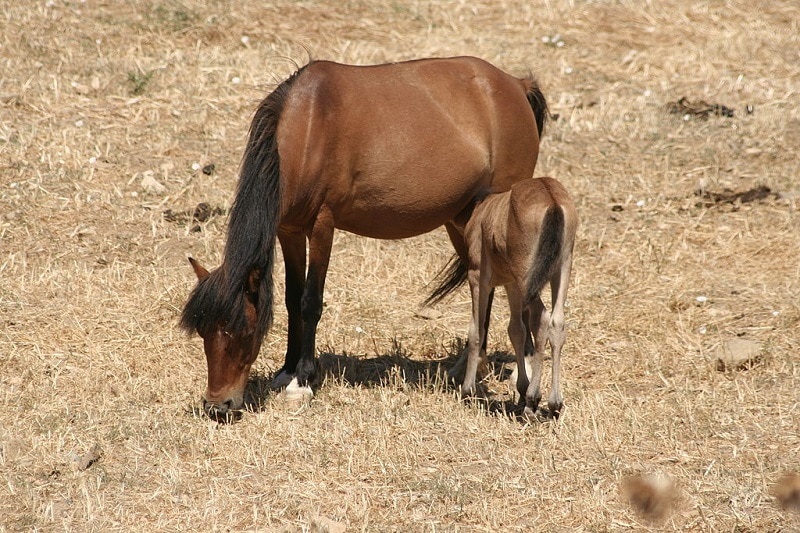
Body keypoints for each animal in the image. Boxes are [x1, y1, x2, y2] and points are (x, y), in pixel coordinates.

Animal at [178, 55, 548, 420]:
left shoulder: (322, 225)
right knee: (482, 284)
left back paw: (522, 370)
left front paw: (302, 382)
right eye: (203, 332)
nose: (218, 406)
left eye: (243, 332)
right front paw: (286, 371)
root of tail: (516, 85)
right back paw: (469, 366)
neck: (308, 130)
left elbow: (310, 302)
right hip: (463, 219)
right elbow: (291, 299)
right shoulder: (290, 231)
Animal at [454, 177, 580, 418]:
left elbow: (477, 329)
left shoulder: (478, 277)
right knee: (556, 322)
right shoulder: (511, 284)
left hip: (526, 274)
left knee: (541, 319)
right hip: (561, 267)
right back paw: (554, 403)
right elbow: (516, 330)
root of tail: (552, 201)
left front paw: (467, 390)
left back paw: (534, 400)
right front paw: (521, 389)